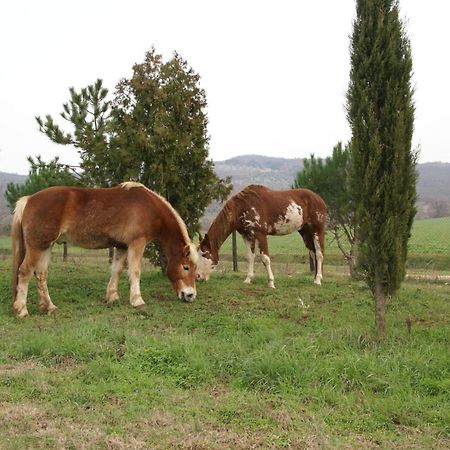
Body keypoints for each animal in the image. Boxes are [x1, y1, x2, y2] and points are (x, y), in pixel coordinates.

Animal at [11, 182, 198, 316]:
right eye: (185, 267)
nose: (190, 295)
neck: (149, 208)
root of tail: (29, 199)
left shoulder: (122, 246)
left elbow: (117, 270)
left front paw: (112, 297)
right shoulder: (137, 243)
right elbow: (135, 271)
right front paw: (137, 300)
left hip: (45, 247)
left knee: (41, 274)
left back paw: (49, 307)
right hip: (37, 247)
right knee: (25, 272)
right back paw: (22, 310)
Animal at [197, 184, 326, 286]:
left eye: (205, 254)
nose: (198, 276)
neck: (242, 207)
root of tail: (320, 199)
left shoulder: (260, 235)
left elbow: (265, 258)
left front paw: (271, 282)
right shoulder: (247, 236)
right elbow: (249, 257)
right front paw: (248, 279)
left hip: (317, 230)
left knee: (319, 254)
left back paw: (318, 280)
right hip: (305, 232)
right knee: (313, 253)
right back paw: (315, 279)